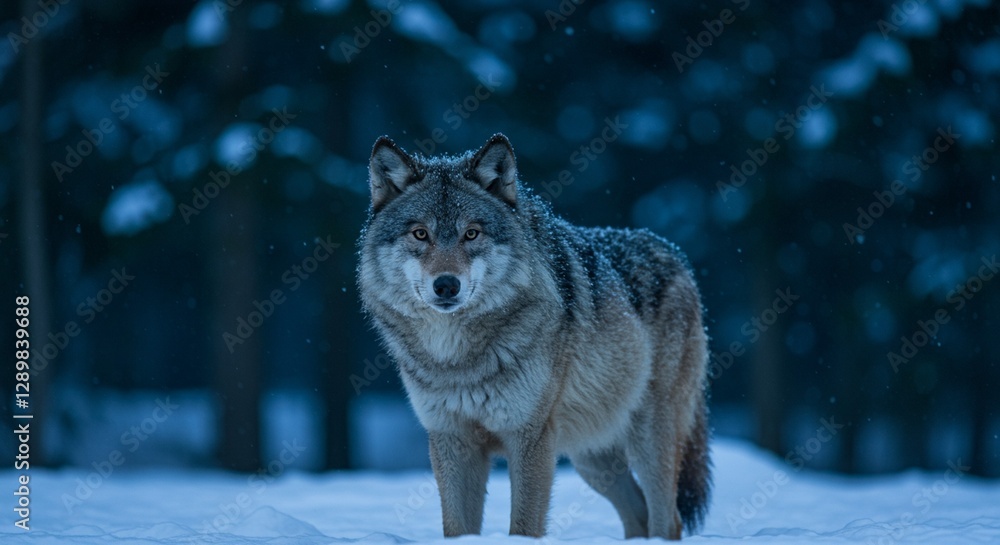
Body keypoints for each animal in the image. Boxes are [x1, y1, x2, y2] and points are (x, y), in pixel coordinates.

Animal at [357, 134, 711, 540]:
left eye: (471, 233)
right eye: (420, 234)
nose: (446, 285)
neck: (458, 360)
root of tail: (675, 255)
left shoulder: (530, 437)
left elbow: (524, 526)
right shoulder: (451, 439)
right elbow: (457, 527)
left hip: (648, 439)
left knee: (668, 521)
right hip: (592, 459)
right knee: (638, 516)